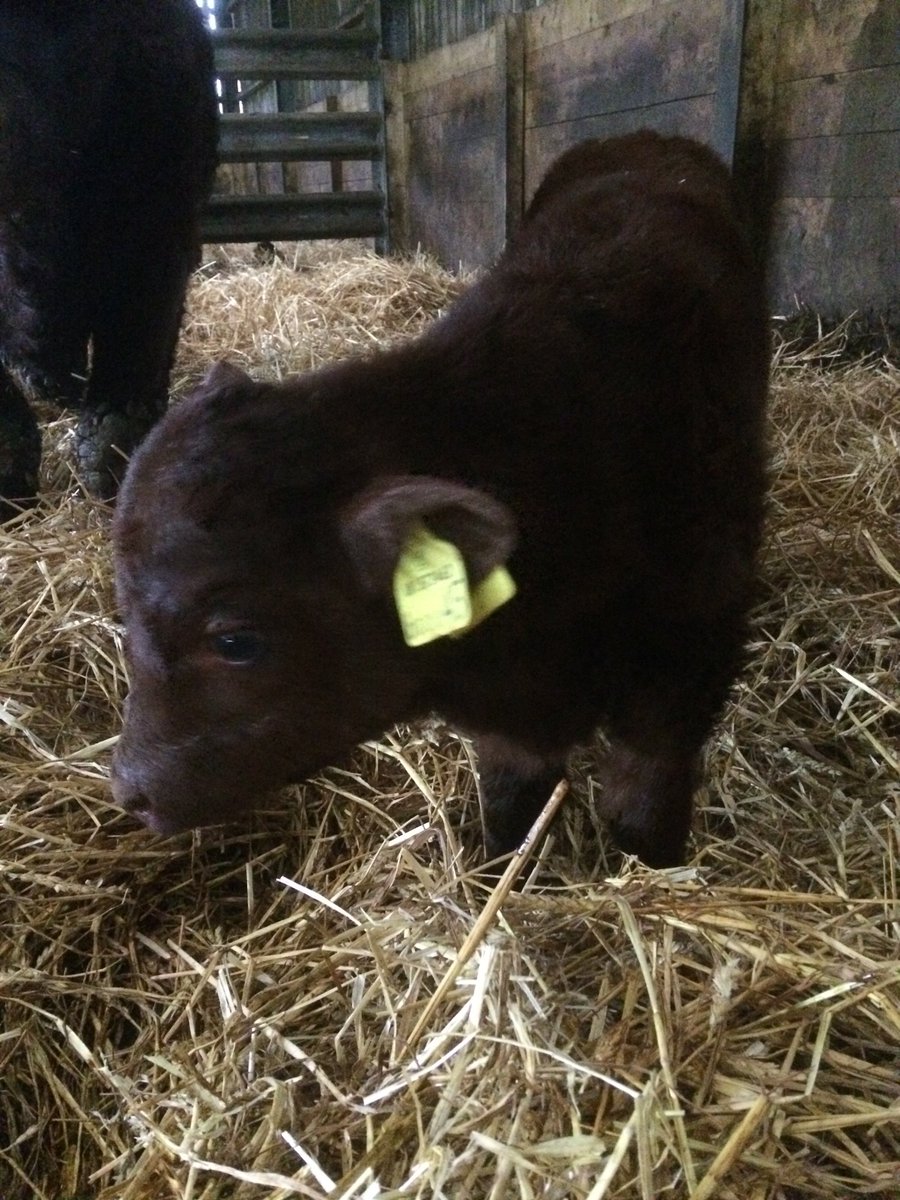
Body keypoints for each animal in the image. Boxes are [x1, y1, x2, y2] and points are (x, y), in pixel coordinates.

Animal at [111, 131, 769, 868]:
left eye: (235, 640)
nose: (130, 790)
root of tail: (646, 140)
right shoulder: (514, 720)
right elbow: (512, 803)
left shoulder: (689, 655)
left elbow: (644, 805)